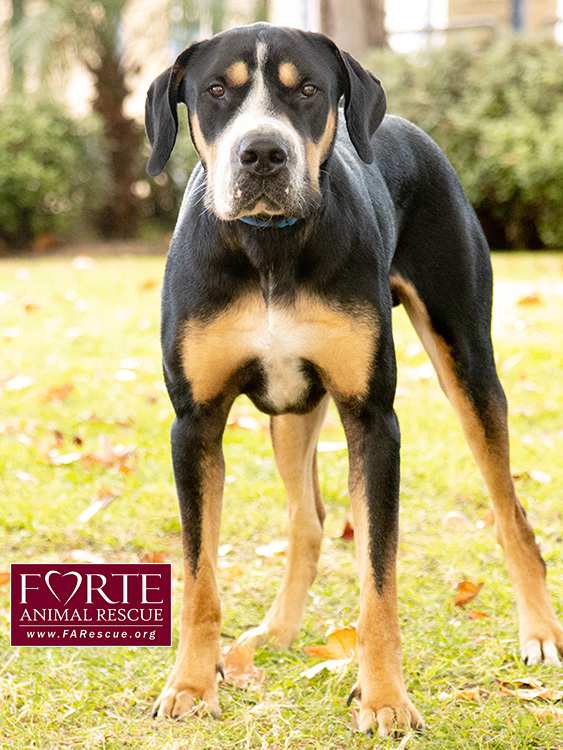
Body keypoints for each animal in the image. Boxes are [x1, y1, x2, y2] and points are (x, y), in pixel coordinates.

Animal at [147, 23, 563, 740]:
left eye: (309, 90)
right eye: (216, 91)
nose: (263, 153)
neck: (270, 251)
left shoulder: (373, 419)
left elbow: (379, 579)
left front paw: (385, 699)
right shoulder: (193, 423)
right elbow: (200, 574)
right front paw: (192, 686)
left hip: (466, 361)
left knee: (510, 511)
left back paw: (538, 631)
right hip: (292, 409)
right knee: (308, 520)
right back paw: (272, 635)